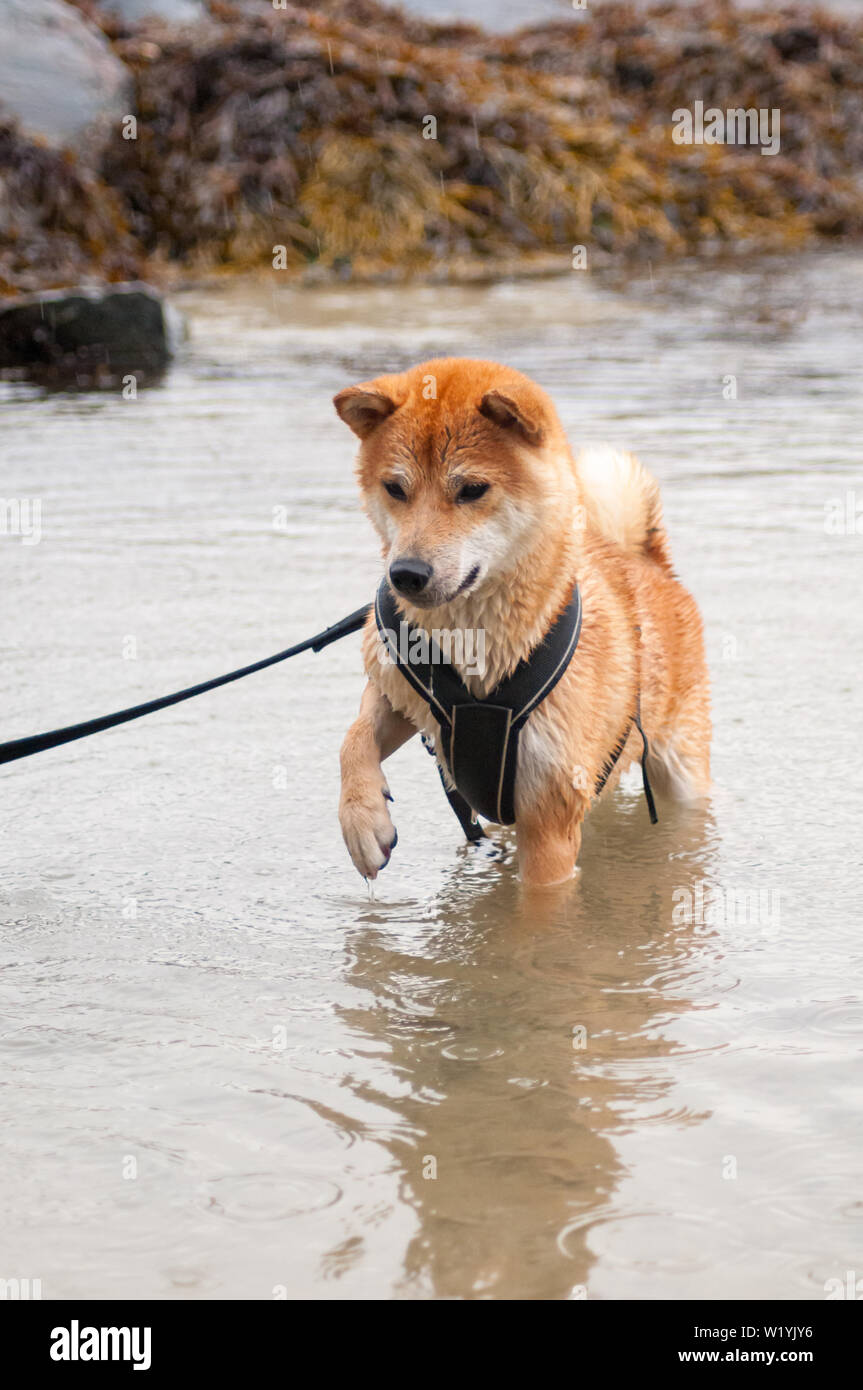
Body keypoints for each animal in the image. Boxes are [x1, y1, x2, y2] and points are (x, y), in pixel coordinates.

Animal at [333, 361, 711, 889]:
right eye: (395, 488)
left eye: (472, 489)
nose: (406, 574)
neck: (476, 649)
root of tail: (646, 561)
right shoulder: (401, 693)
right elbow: (354, 737)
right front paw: (362, 821)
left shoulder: (548, 817)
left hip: (681, 769)